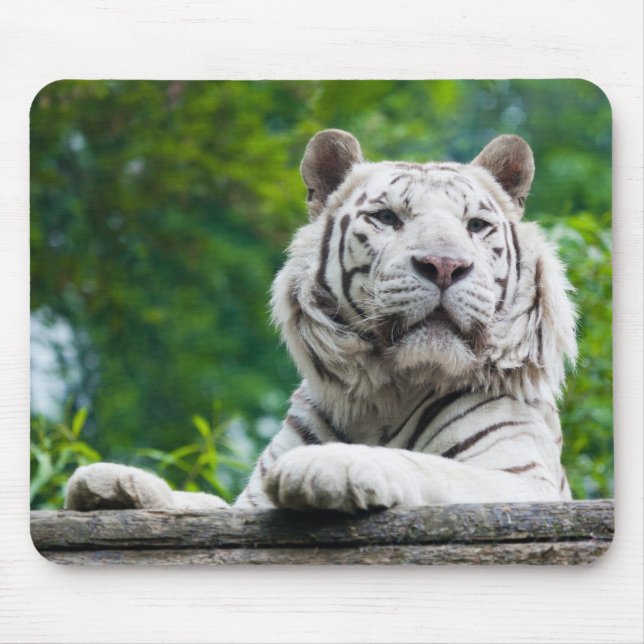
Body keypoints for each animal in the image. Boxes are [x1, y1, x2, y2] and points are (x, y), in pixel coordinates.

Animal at [65, 129, 577, 514]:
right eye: (386, 217)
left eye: (476, 226)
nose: (444, 265)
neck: (387, 394)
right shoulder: (247, 505)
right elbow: (202, 501)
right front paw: (112, 483)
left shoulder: (521, 480)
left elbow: (426, 466)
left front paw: (327, 465)